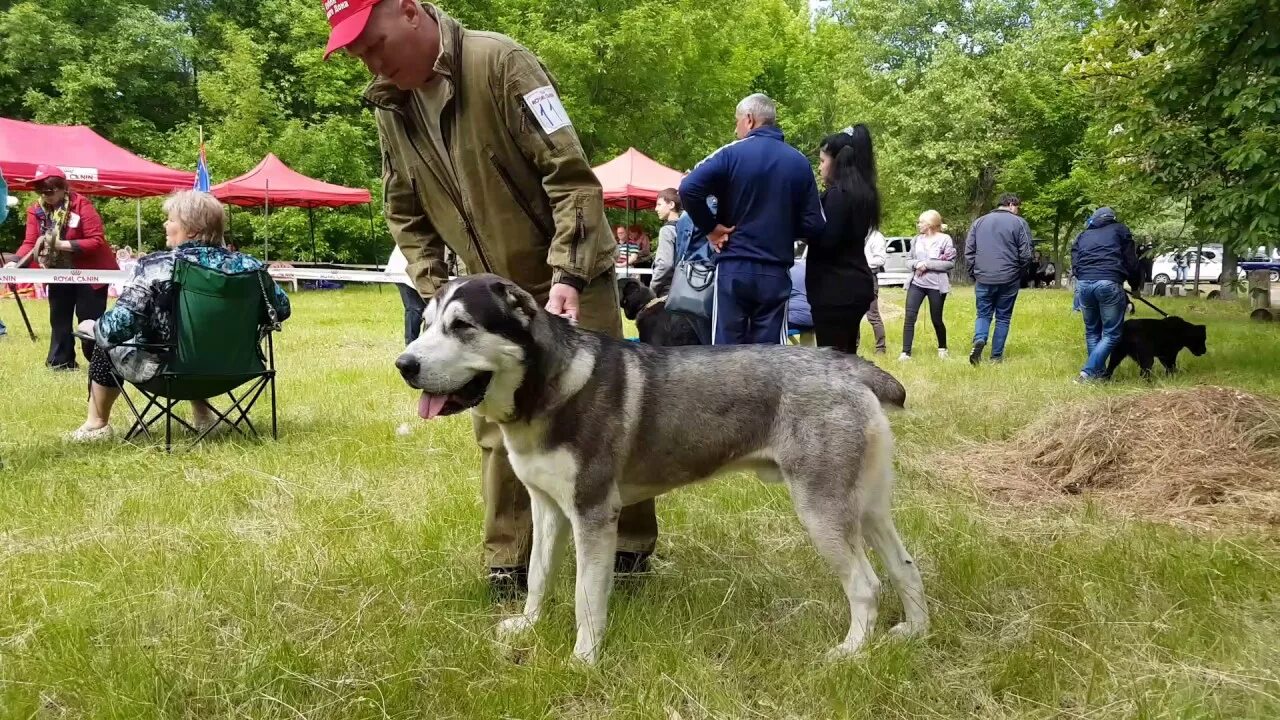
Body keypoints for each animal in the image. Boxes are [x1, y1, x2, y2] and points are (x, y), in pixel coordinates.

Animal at [394, 274, 926, 661]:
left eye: (463, 326)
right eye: (426, 324)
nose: (404, 365)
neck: (547, 390)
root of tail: (845, 365)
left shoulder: (593, 515)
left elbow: (587, 597)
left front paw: (584, 659)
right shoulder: (547, 508)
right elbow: (540, 576)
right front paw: (527, 625)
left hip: (822, 510)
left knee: (867, 585)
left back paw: (850, 653)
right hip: (868, 508)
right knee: (905, 566)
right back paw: (913, 633)